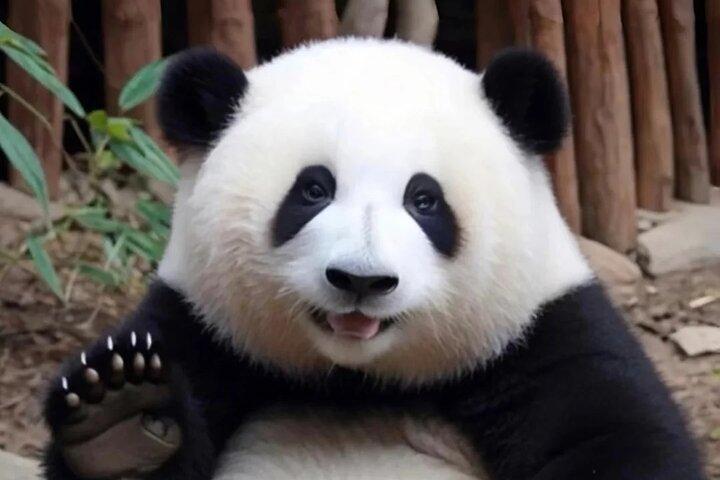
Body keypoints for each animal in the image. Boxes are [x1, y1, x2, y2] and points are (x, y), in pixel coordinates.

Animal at [42, 38, 704, 480]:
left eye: (424, 200)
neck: (357, 380)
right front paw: (122, 420)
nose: (361, 280)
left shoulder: (541, 333)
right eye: (312, 190)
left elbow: (619, 436)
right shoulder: (202, 326)